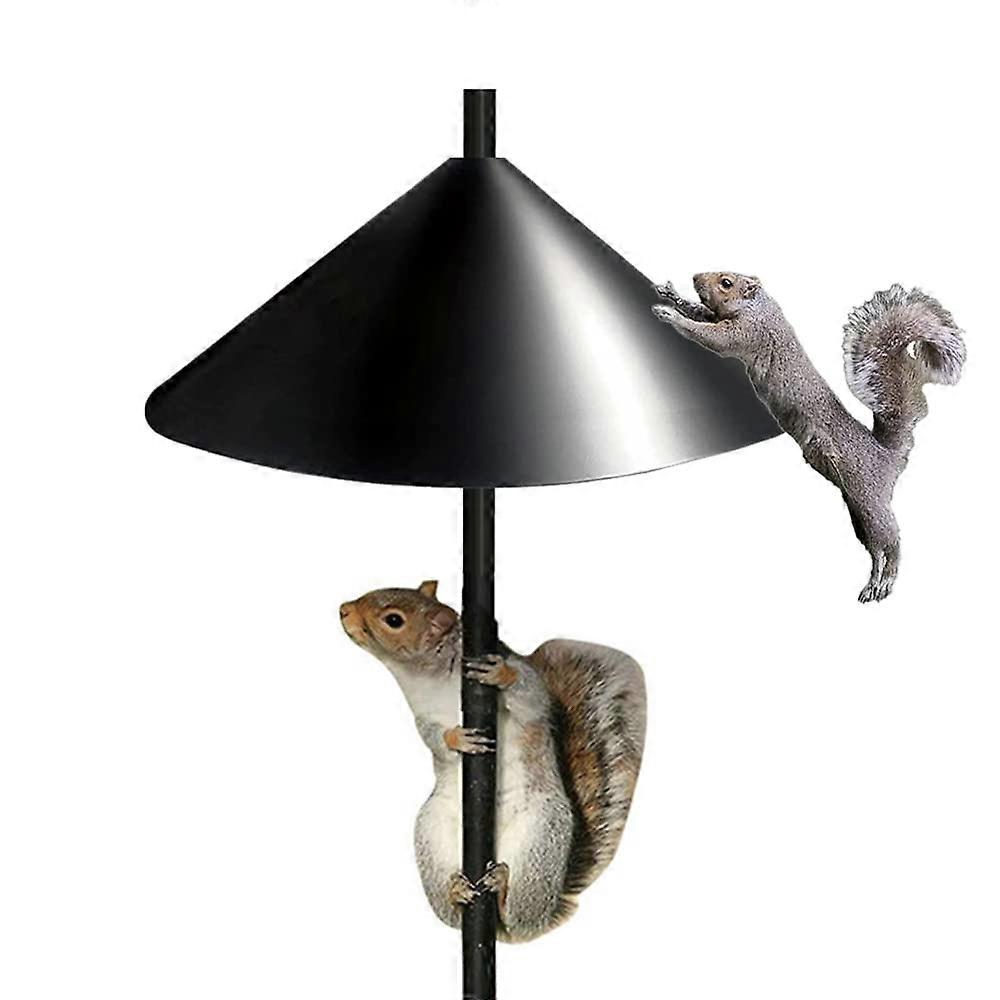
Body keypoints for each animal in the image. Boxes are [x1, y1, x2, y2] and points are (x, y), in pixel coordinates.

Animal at [339, 580, 646, 942]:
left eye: (393, 620)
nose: (344, 610)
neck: (429, 676)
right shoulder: (424, 716)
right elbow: (433, 737)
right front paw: (457, 740)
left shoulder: (529, 689)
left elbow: (531, 697)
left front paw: (501, 674)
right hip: (431, 835)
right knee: (453, 915)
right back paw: (456, 892)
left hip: (540, 840)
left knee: (518, 915)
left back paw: (501, 889)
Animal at [651, 274, 966, 602]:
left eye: (726, 282)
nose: (695, 277)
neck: (759, 305)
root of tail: (887, 456)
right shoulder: (727, 319)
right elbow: (701, 314)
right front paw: (672, 295)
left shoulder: (747, 331)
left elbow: (709, 335)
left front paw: (669, 314)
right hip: (857, 510)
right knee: (875, 549)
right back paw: (873, 583)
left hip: (869, 500)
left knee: (891, 542)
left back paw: (886, 581)